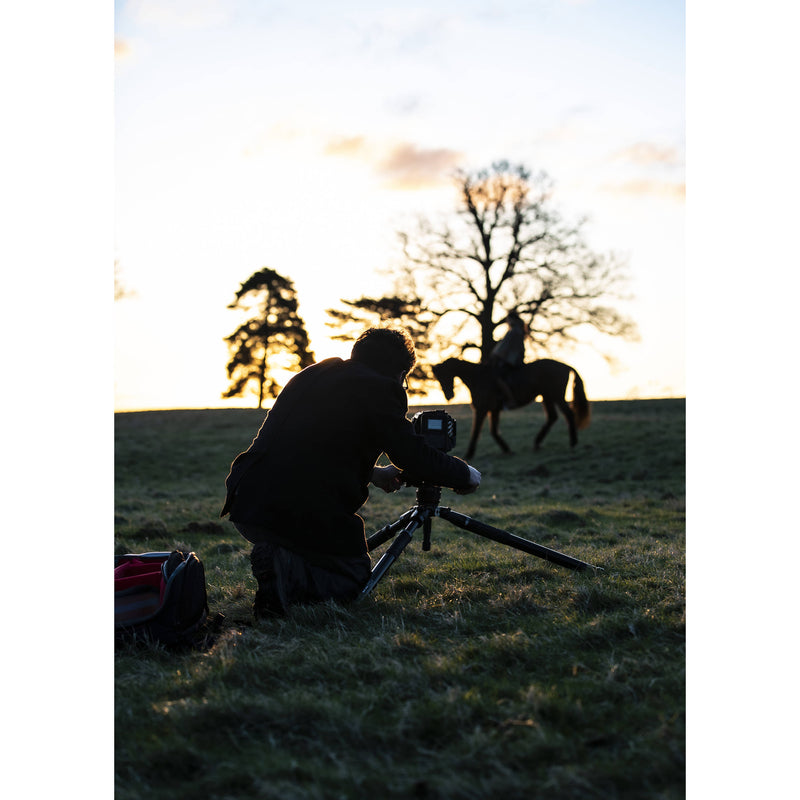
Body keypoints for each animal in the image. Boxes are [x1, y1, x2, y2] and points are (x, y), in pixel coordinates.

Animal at [432, 358, 592, 460]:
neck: (478, 378)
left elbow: (476, 431)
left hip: (556, 396)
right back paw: (537, 443)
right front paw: (507, 450)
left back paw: (573, 443)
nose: (449, 396)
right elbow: (494, 431)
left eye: (443, 376)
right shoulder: (494, 410)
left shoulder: (482, 410)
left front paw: (469, 454)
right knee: (552, 417)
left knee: (568, 414)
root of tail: (565, 366)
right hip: (547, 397)